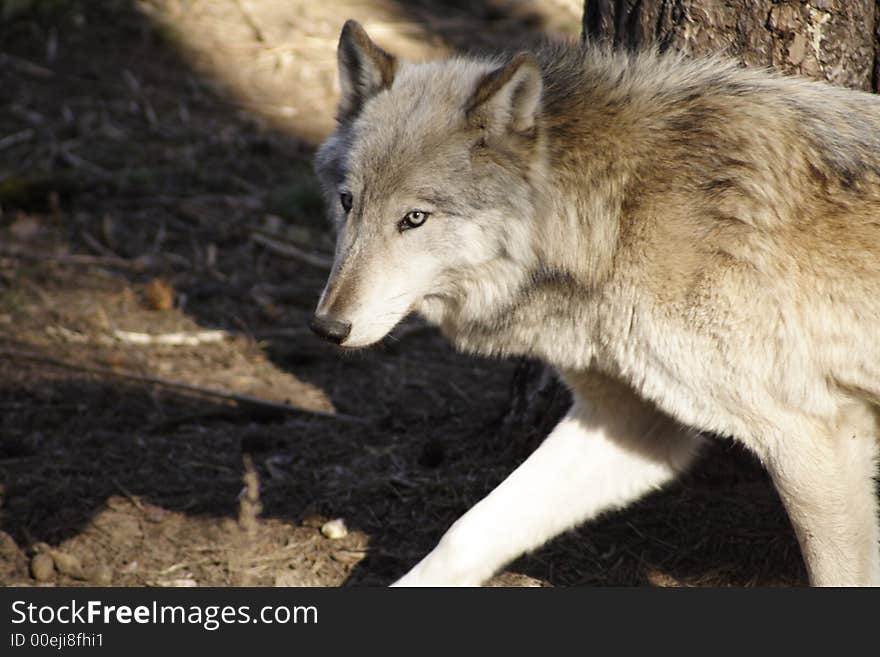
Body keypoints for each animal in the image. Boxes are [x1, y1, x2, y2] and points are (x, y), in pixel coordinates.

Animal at [308, 19, 880, 584]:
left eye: (414, 218)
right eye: (348, 202)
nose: (327, 328)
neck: (622, 214)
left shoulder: (815, 434)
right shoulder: (634, 423)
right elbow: (466, 533)